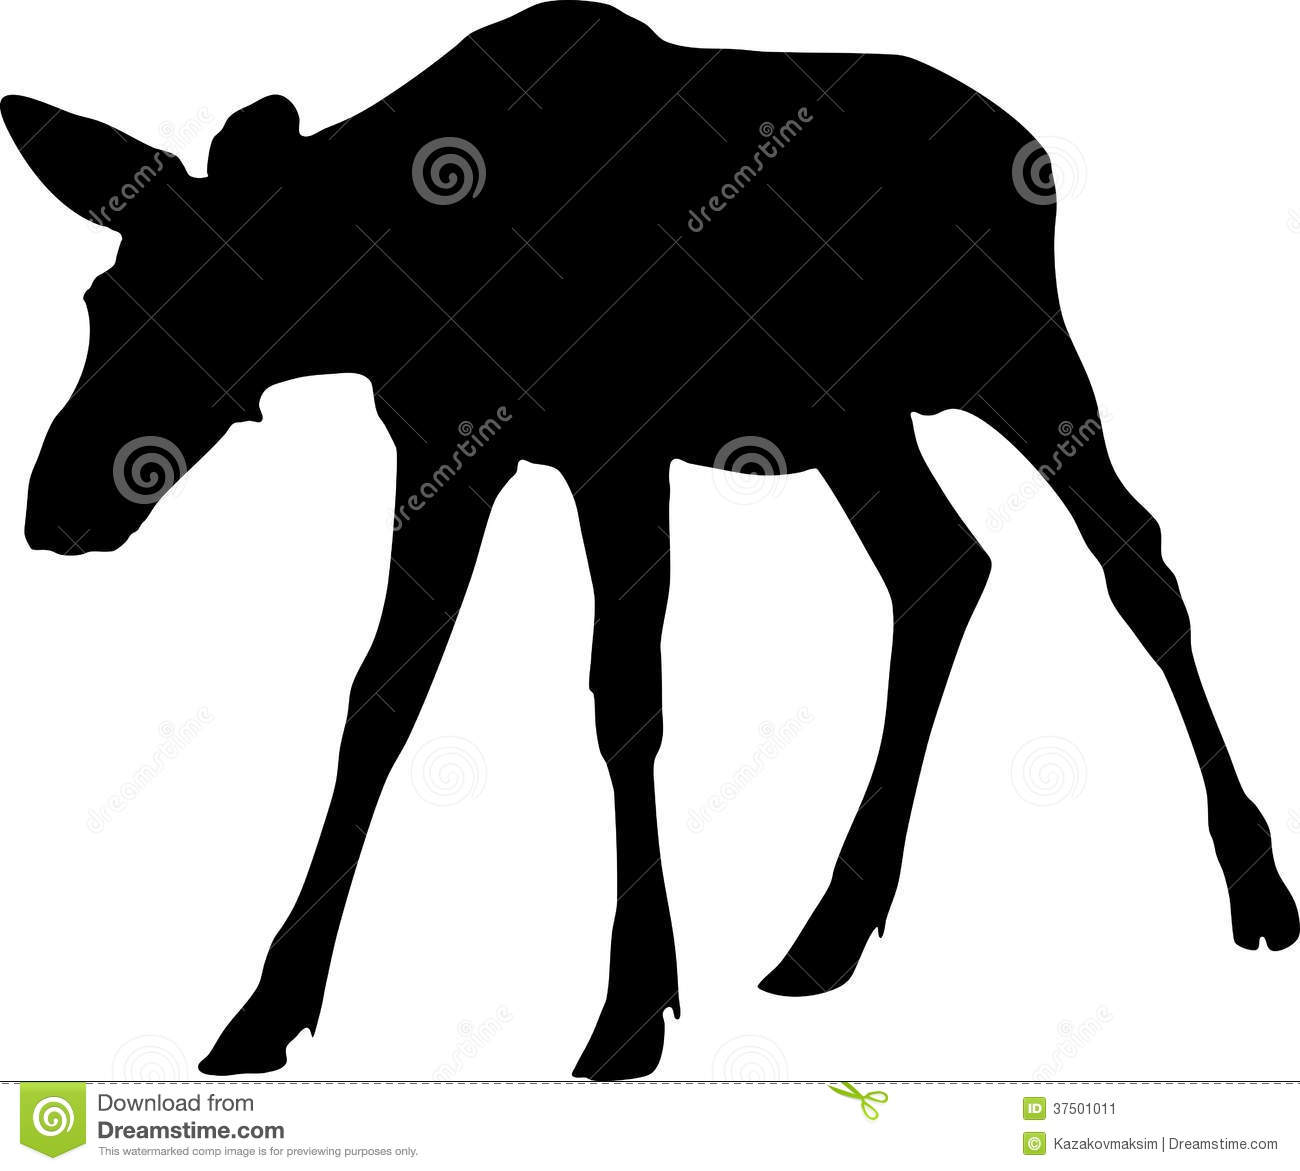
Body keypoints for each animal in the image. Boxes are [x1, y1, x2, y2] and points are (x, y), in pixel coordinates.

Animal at [5, 0, 1296, 1081]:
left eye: (224, 296)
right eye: (100, 303)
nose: (55, 505)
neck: (406, 278)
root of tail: (1034, 156)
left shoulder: (615, 446)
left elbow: (626, 695)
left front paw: (632, 1006)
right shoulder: (442, 449)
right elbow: (381, 698)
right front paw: (266, 1007)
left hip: (1019, 360)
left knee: (1137, 558)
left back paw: (1257, 888)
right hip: (860, 421)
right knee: (942, 567)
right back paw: (828, 931)